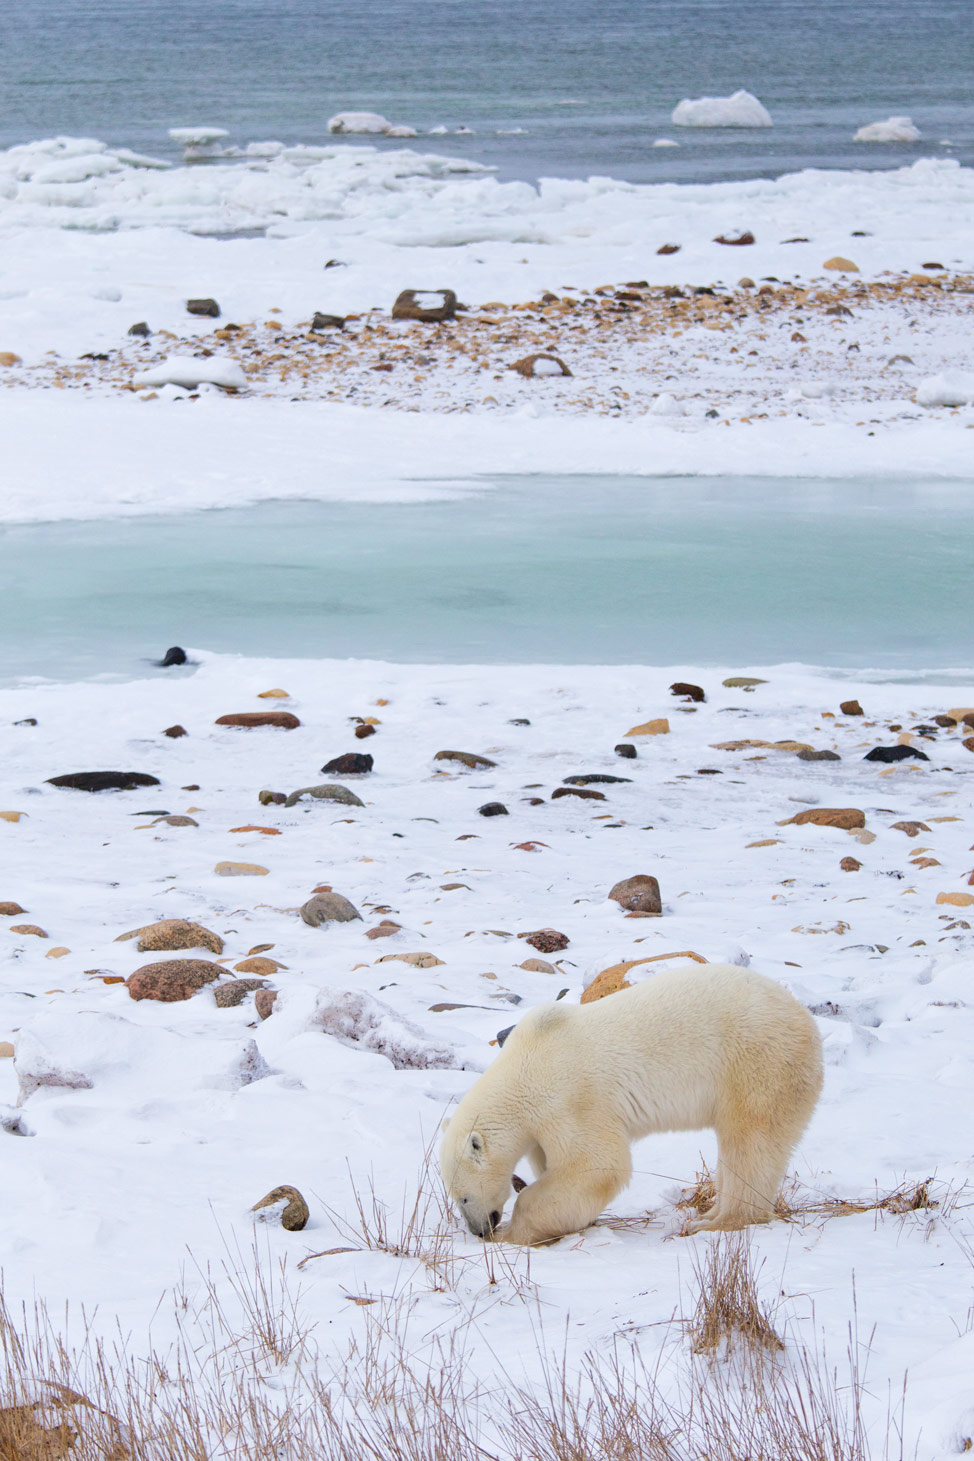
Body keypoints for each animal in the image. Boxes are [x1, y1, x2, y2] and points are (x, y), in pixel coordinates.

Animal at [441, 970, 823, 1244]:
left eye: (462, 1198)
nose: (478, 1230)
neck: (524, 1065)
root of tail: (805, 1020)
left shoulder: (570, 1097)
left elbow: (597, 1165)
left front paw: (513, 1233)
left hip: (757, 1064)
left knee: (750, 1143)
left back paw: (717, 1222)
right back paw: (708, 1215)